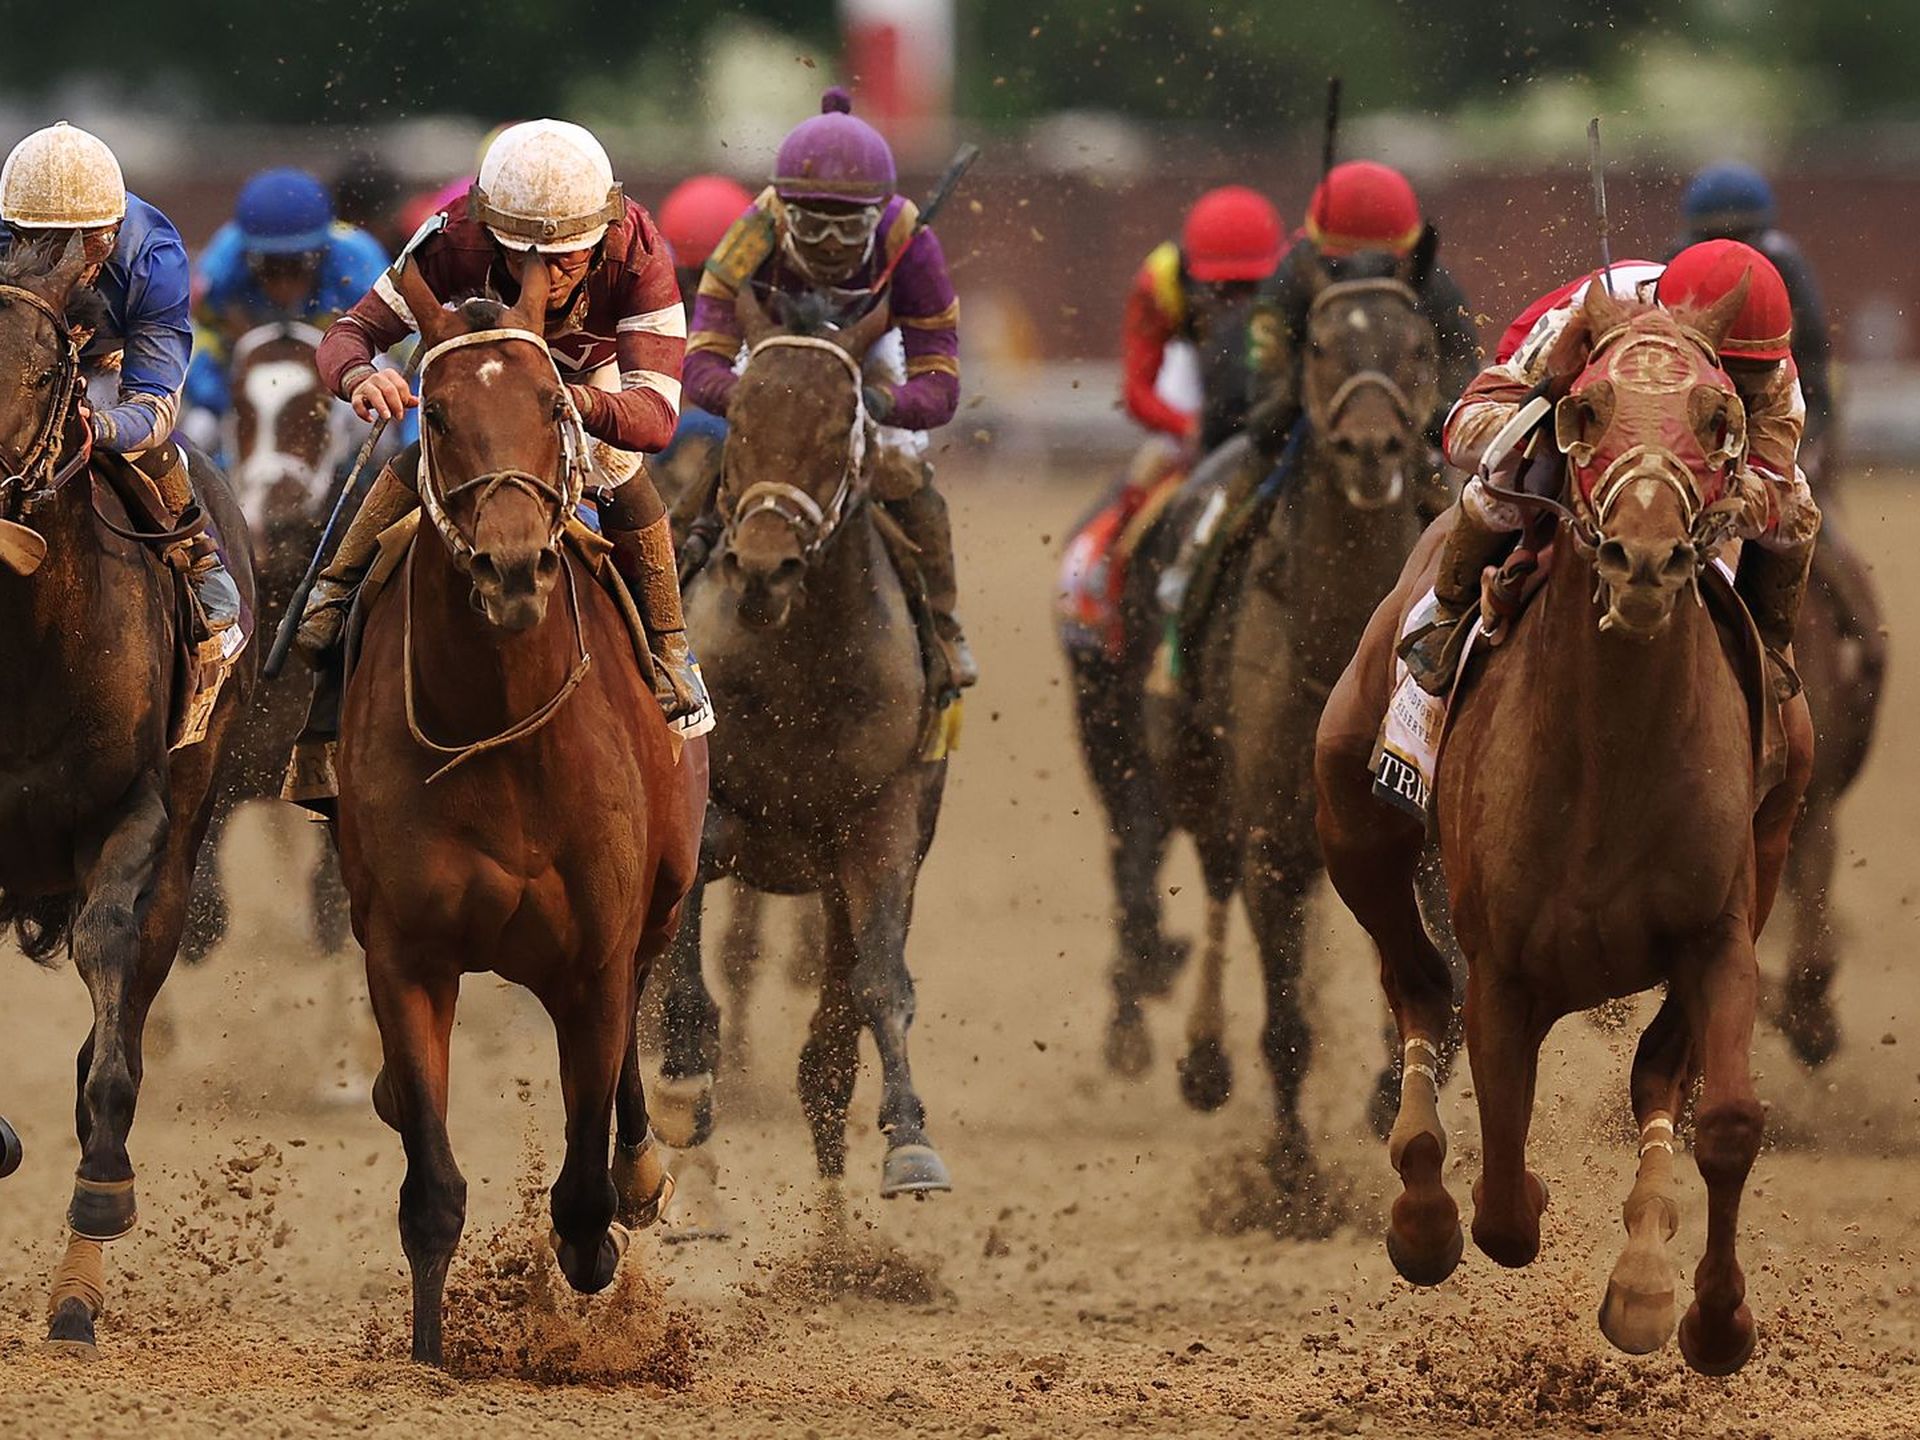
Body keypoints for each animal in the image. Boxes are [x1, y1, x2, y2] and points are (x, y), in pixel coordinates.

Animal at [334, 257, 700, 1365]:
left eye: (548, 404)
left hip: (662, 904)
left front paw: (599, 1242)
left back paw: (640, 1172)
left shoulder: (596, 959)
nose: (510, 568)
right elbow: (431, 1187)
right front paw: (428, 1350)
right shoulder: (405, 953)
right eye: (441, 415)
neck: (502, 733)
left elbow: (582, 1188)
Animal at [655, 288, 952, 1203]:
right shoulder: (701, 813)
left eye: (835, 431)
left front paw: (910, 1142)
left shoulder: (883, 823)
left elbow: (877, 987)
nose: (762, 569)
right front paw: (682, 1095)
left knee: (827, 1052)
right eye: (743, 419)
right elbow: (684, 993)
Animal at [1315, 277, 1814, 1374]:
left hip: (1769, 853)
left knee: (1658, 1072)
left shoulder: (1720, 934)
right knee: (1418, 985)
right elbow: (1504, 1197)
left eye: (1721, 421)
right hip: (1354, 828)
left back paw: (1644, 1264)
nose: (1646, 556)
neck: (1610, 759)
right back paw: (1420, 1208)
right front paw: (1479, 1210)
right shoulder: (1504, 970)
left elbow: (1725, 1119)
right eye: (1586, 412)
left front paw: (1707, 1317)